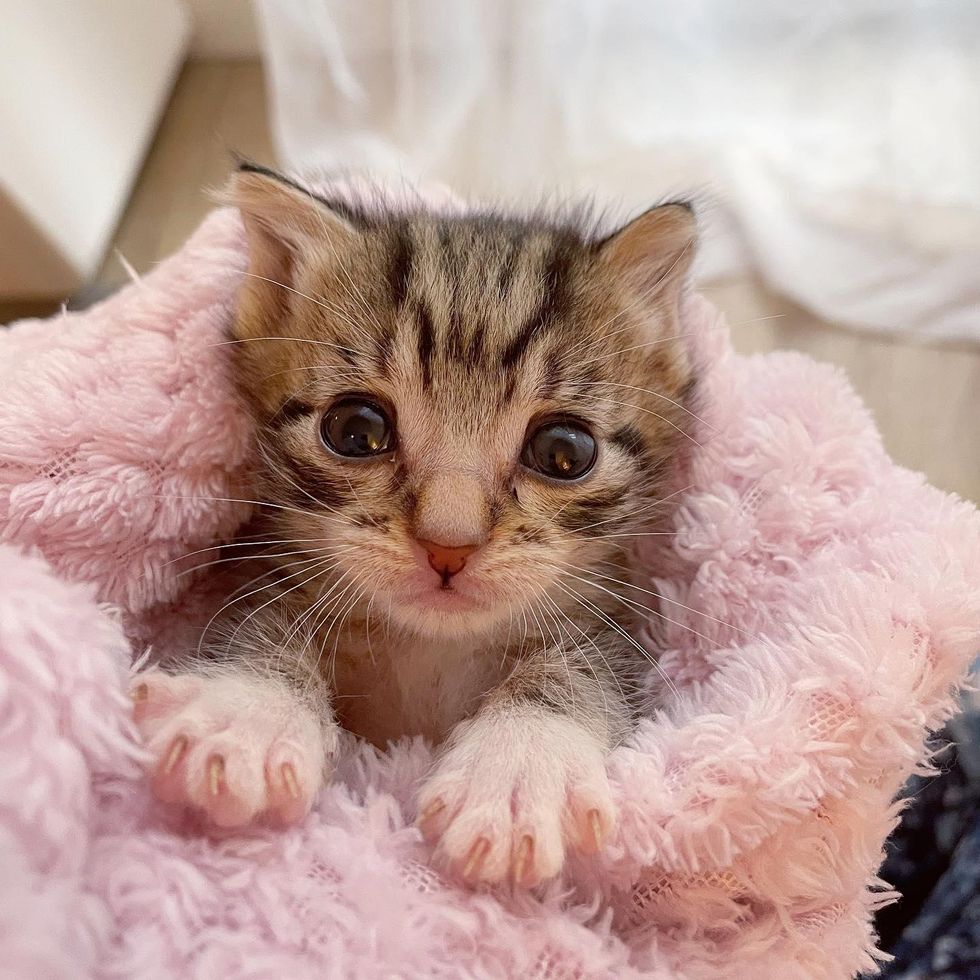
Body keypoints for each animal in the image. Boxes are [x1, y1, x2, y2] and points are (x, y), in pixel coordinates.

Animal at [132, 163, 696, 888]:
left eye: (564, 452)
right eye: (356, 431)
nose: (448, 543)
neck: (430, 647)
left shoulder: (616, 619)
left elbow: (584, 667)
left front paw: (518, 770)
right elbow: (261, 620)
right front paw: (247, 713)